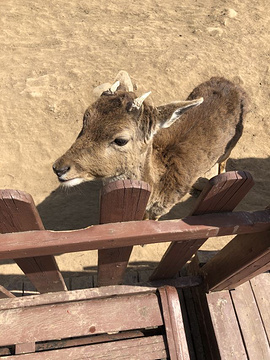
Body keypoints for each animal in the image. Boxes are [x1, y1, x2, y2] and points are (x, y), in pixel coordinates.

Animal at [53, 71, 249, 219]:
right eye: (85, 119)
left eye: (121, 140)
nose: (59, 168)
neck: (158, 187)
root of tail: (232, 83)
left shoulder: (163, 209)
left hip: (232, 144)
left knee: (223, 160)